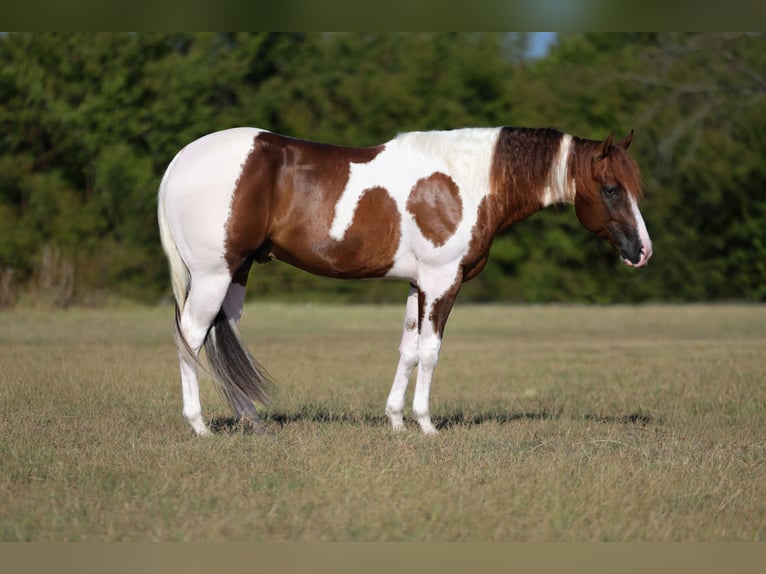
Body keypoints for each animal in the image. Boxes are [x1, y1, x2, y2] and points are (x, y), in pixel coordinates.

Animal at [157, 126, 652, 436]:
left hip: (237, 274)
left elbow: (408, 350)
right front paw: (426, 424)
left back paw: (252, 422)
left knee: (222, 339)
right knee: (191, 338)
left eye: (635, 188)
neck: (468, 180)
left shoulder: (418, 285)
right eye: (611, 188)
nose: (643, 252)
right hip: (213, 275)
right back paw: (199, 425)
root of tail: (180, 160)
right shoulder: (442, 281)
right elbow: (431, 352)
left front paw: (396, 420)